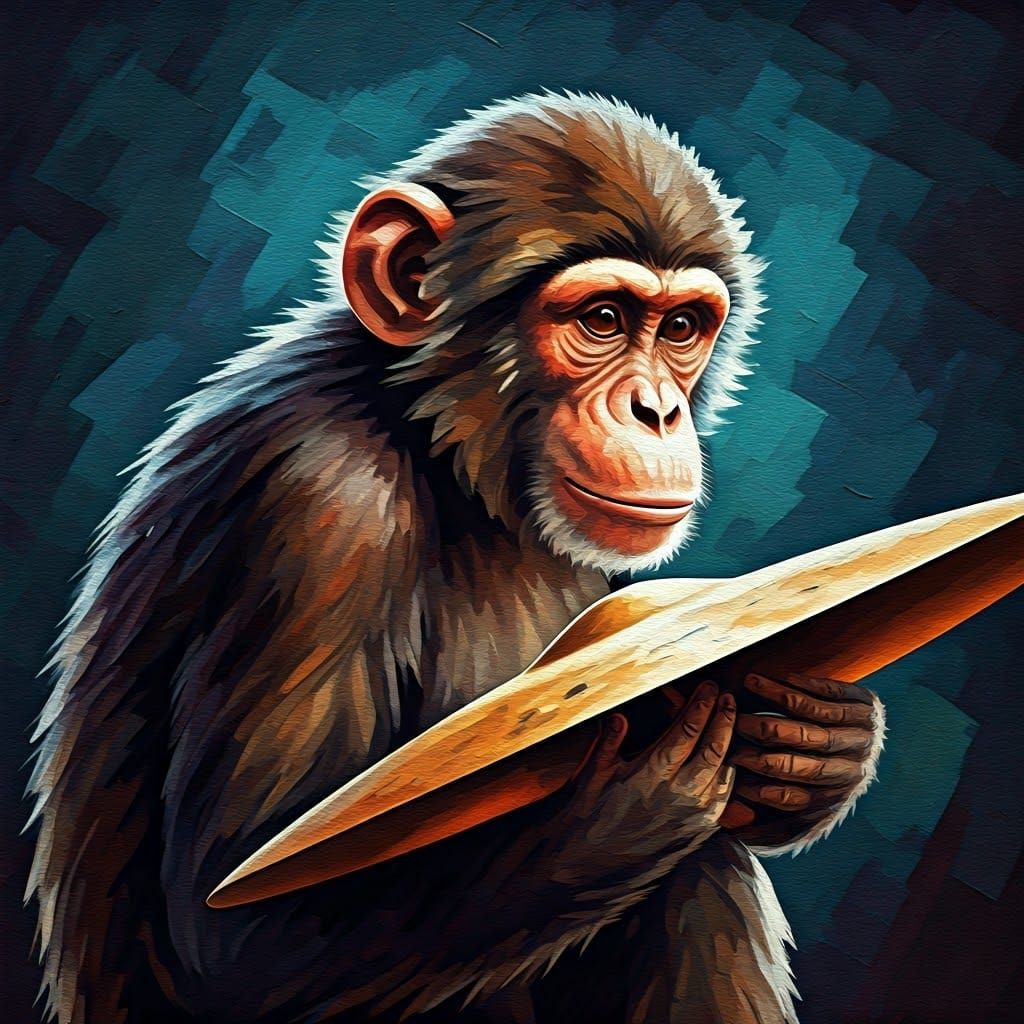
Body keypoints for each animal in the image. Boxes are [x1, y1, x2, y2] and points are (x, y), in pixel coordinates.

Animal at [25, 93, 885, 1024]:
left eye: (682, 328)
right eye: (603, 320)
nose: (655, 410)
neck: (437, 441)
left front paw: (820, 740)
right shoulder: (322, 511)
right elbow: (232, 941)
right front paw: (634, 801)